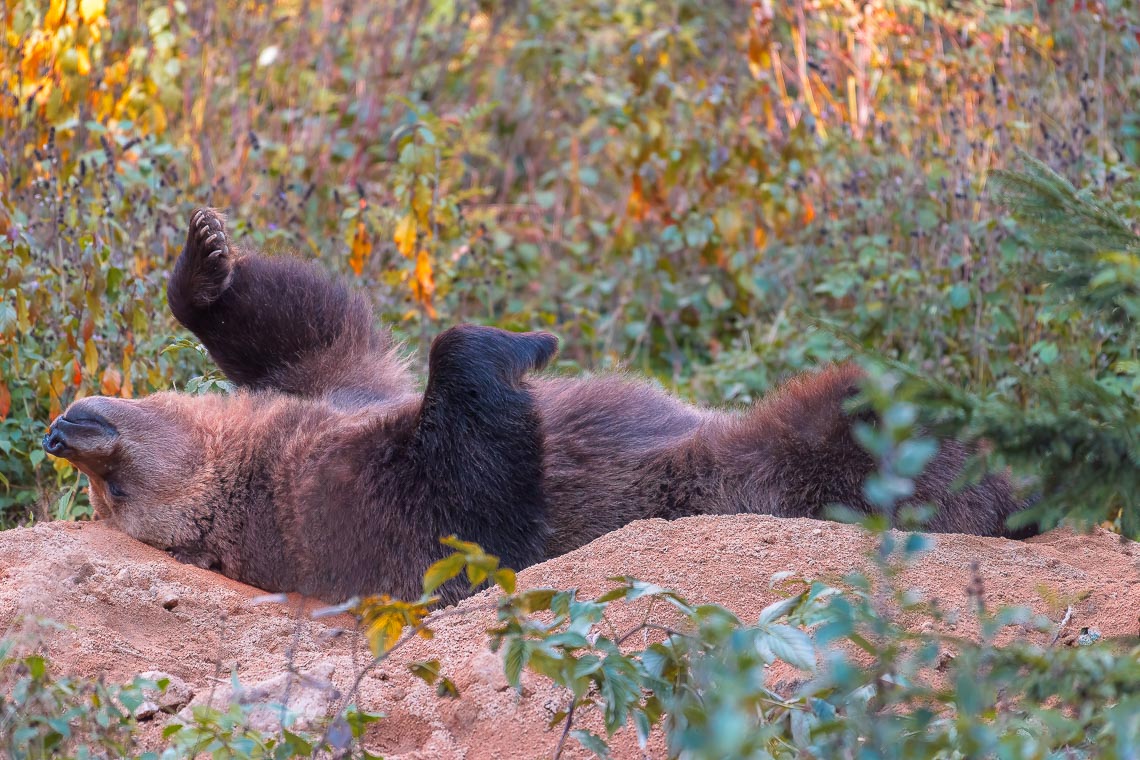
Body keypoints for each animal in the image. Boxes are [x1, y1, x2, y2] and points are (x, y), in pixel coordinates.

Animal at [44, 206, 1039, 601]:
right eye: (111, 495)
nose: (62, 431)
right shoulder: (342, 504)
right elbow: (473, 505)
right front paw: (524, 341)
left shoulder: (340, 383)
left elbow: (317, 323)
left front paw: (206, 259)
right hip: (759, 473)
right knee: (843, 432)